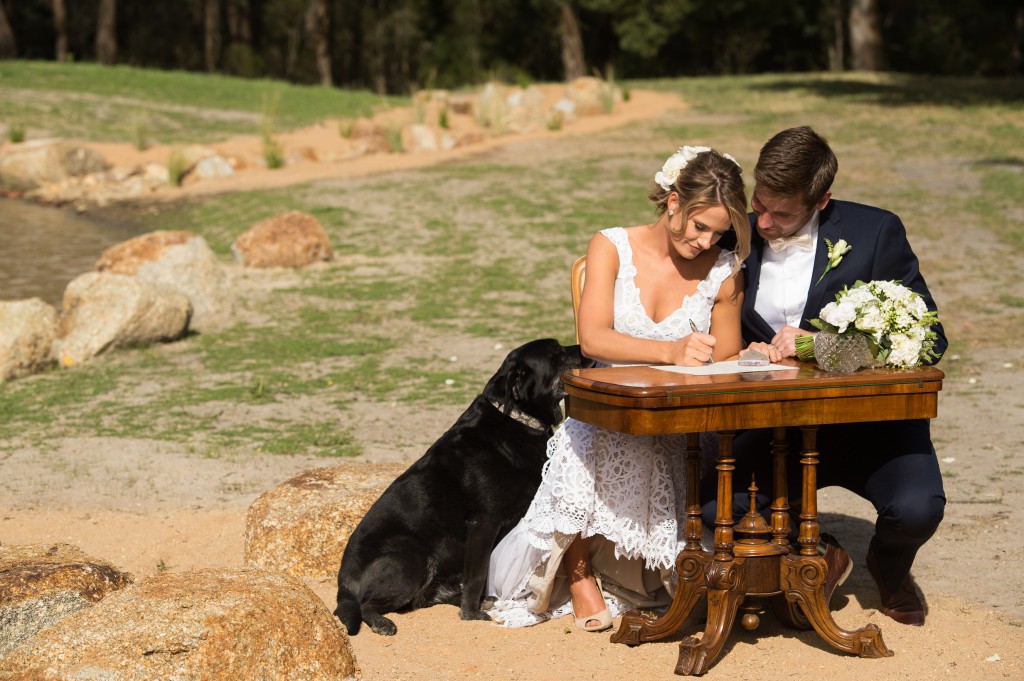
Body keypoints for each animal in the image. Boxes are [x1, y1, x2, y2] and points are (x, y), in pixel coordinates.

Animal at [335, 337, 593, 634]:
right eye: (555, 353)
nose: (587, 351)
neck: (514, 419)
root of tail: (343, 583)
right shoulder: (484, 522)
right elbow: (478, 572)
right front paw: (470, 613)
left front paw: (476, 604)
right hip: (410, 558)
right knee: (368, 603)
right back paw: (382, 621)